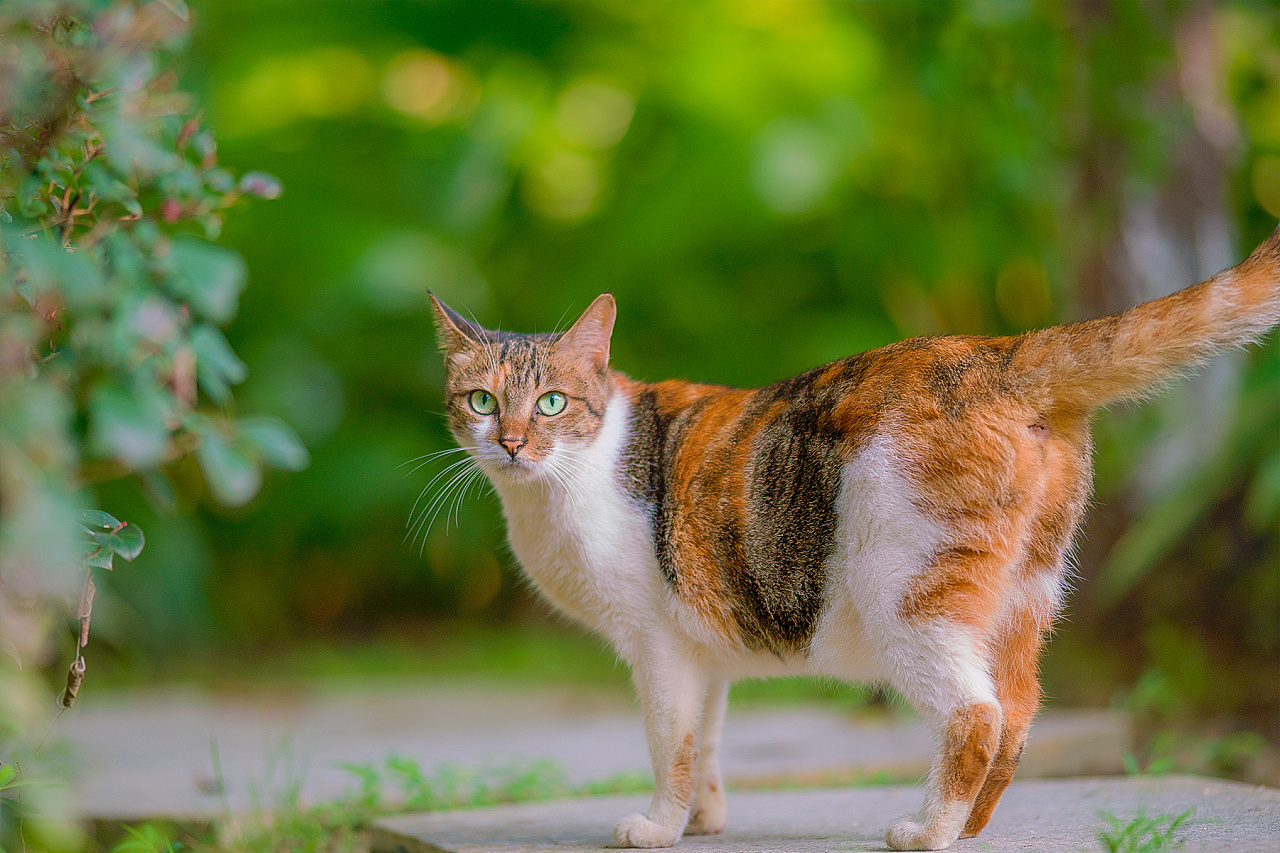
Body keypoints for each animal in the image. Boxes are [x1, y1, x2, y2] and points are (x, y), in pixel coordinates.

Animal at [427, 222, 1280, 845]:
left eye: (551, 403)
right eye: (480, 401)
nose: (511, 442)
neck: (559, 485)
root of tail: (995, 353)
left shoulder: (657, 645)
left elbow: (671, 745)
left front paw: (661, 826)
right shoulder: (703, 652)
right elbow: (707, 740)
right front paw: (705, 821)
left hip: (905, 593)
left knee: (976, 715)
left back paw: (928, 832)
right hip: (1025, 593)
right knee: (1020, 709)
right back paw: (969, 829)